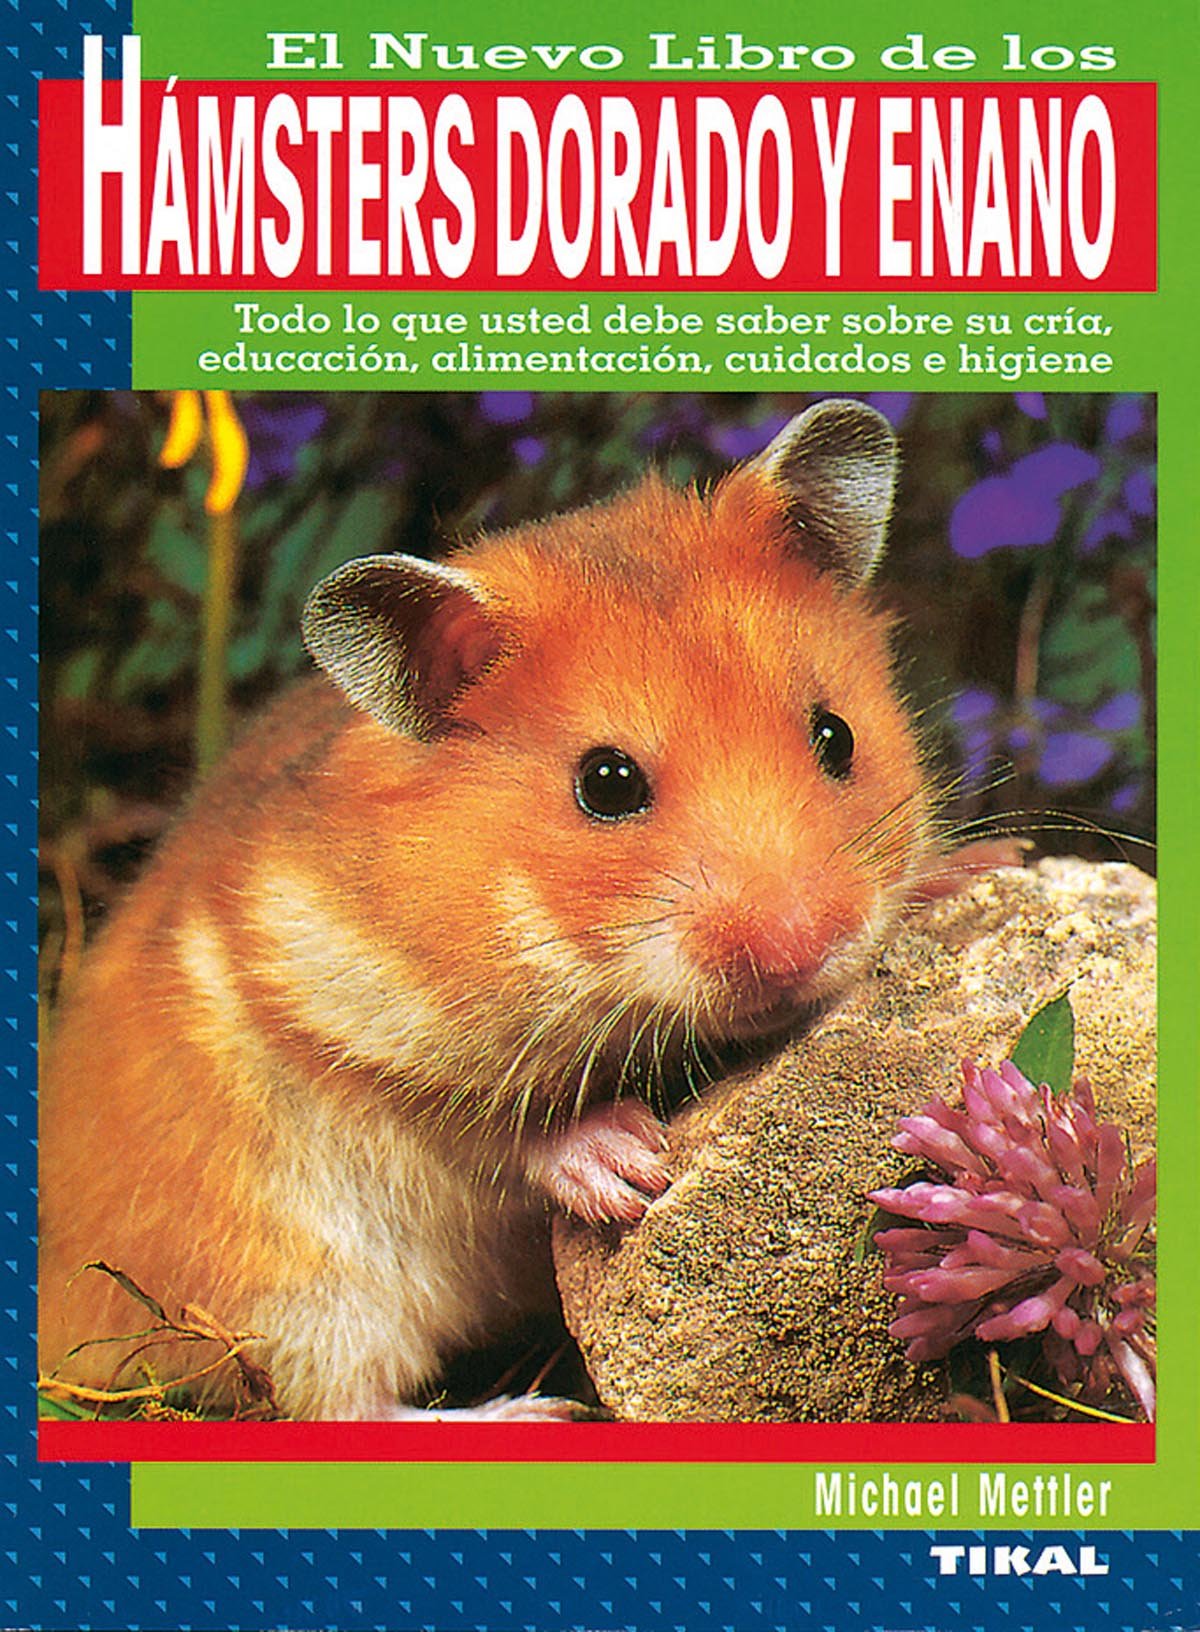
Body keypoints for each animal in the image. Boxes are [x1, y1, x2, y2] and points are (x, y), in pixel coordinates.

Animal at [39, 399, 950, 1421]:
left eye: (836, 735)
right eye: (606, 783)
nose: (804, 948)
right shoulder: (330, 1022)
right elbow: (486, 1133)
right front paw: (629, 1168)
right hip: (294, 1282)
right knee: (349, 1404)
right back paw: (542, 1411)